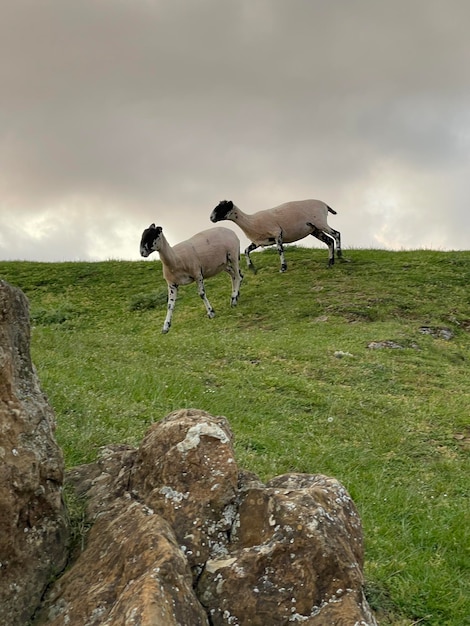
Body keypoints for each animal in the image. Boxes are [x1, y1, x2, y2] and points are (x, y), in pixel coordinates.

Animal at [209, 197, 342, 270]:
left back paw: (339, 255)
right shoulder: (259, 241)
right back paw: (330, 262)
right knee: (329, 241)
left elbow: (280, 250)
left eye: (222, 208)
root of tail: (324, 205)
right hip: (314, 229)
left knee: (336, 234)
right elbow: (246, 251)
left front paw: (283, 267)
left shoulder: (277, 233)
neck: (251, 222)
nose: (211, 218)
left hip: (320, 222)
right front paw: (251, 267)